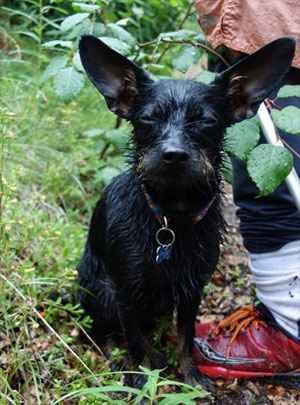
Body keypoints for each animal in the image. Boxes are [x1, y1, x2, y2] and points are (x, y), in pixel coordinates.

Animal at [76, 36, 294, 390]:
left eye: (206, 121)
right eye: (149, 118)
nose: (174, 154)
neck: (171, 218)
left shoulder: (193, 290)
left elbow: (186, 338)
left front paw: (191, 377)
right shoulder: (124, 292)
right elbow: (134, 341)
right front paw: (143, 379)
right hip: (100, 291)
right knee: (101, 332)